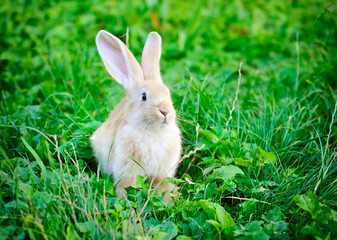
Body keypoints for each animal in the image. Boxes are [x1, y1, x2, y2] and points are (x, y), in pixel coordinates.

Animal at [90, 30, 181, 202]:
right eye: (144, 96)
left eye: (168, 93)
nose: (165, 111)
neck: (152, 131)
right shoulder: (127, 169)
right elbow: (127, 185)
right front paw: (124, 199)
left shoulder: (161, 172)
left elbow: (162, 184)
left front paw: (167, 198)